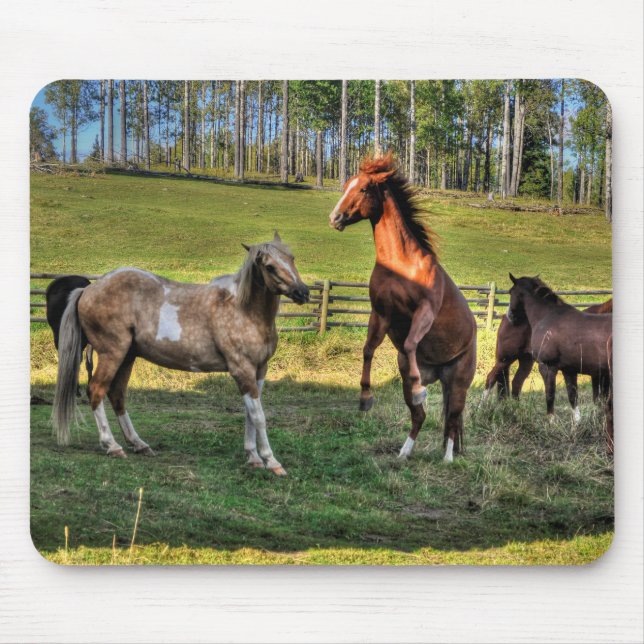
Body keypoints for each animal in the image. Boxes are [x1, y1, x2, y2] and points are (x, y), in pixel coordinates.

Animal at [52, 233, 310, 475]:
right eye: (269, 266)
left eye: (292, 258)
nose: (303, 292)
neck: (242, 310)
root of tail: (88, 289)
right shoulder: (241, 369)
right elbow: (258, 416)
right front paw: (271, 461)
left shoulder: (259, 370)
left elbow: (250, 414)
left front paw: (253, 457)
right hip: (112, 353)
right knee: (97, 390)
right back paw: (112, 445)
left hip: (127, 357)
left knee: (117, 395)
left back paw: (139, 444)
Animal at [328, 154, 477, 463]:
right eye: (347, 185)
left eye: (363, 189)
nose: (334, 218)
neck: (401, 264)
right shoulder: (382, 313)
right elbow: (368, 349)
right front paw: (365, 398)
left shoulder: (425, 311)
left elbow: (409, 343)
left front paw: (420, 388)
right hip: (420, 379)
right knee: (420, 416)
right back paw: (403, 452)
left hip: (458, 382)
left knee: (453, 419)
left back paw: (447, 457)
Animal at [483, 297, 612, 414]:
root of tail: (507, 317)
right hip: (506, 358)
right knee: (491, 378)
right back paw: (481, 408)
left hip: (526, 360)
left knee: (516, 383)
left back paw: (517, 411)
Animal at [507, 274, 613, 452]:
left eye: (510, 292)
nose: (510, 317)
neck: (547, 316)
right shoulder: (569, 370)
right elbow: (572, 396)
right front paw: (576, 426)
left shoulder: (547, 367)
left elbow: (550, 395)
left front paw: (551, 424)